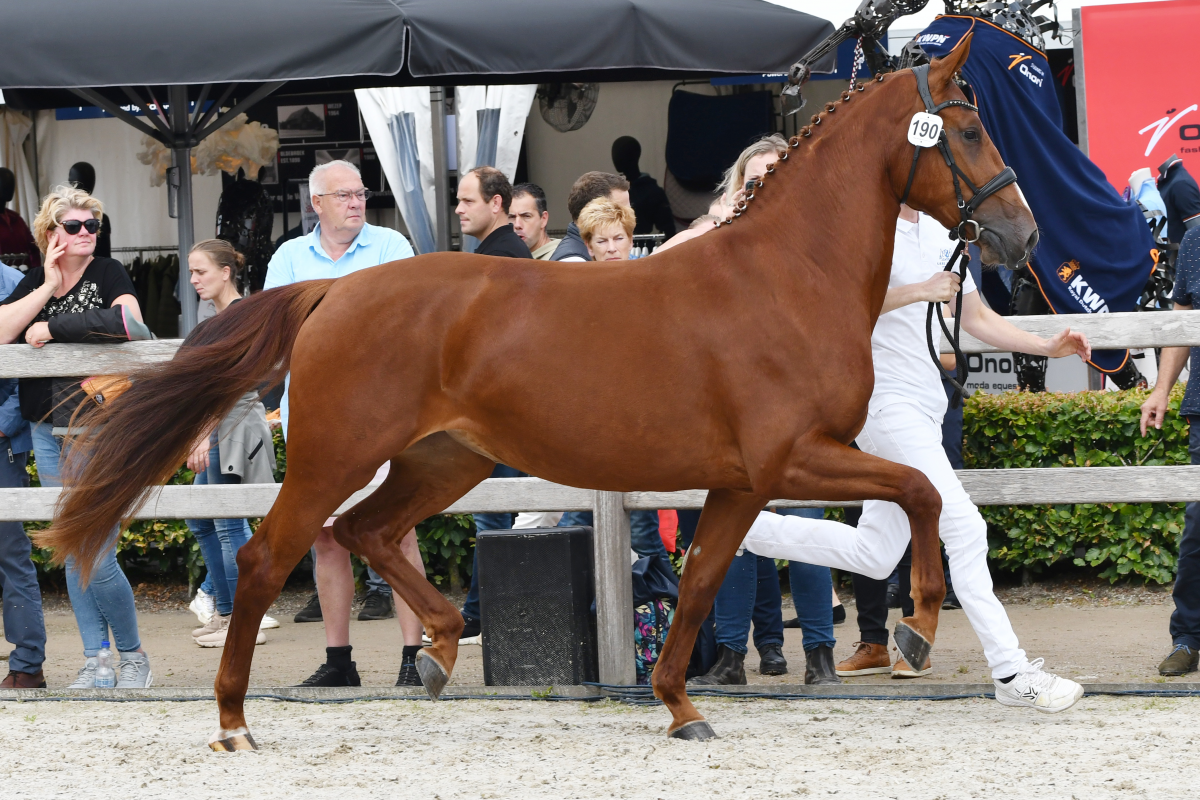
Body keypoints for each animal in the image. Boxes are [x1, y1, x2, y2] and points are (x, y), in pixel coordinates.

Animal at [40, 34, 1035, 748]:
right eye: (969, 128)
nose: (1021, 235)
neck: (786, 277)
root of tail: (336, 290)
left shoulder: (743, 483)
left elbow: (702, 582)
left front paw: (681, 707)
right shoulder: (791, 460)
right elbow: (916, 491)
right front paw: (917, 628)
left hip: (445, 462)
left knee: (367, 534)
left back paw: (439, 651)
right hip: (336, 457)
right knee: (267, 556)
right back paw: (235, 722)